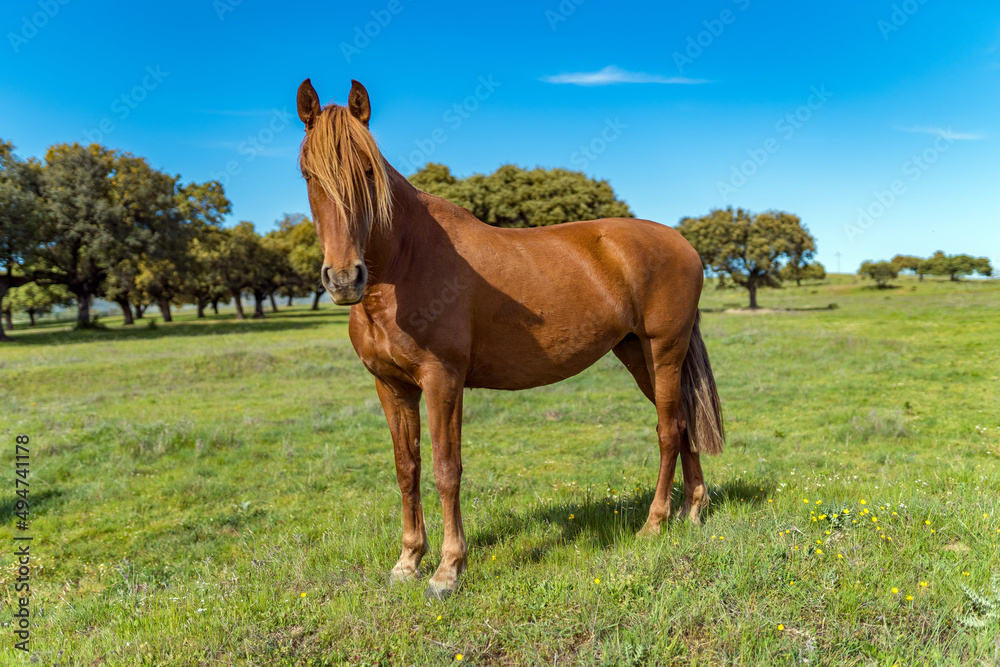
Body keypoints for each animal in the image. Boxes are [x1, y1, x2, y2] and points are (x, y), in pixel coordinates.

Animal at [296, 79, 725, 599]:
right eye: (308, 174)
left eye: (366, 171)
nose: (343, 279)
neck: (405, 265)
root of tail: (683, 244)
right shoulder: (391, 387)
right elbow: (407, 468)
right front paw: (407, 561)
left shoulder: (443, 382)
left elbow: (446, 470)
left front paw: (448, 569)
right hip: (638, 354)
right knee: (682, 423)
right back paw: (693, 510)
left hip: (663, 350)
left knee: (667, 429)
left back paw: (655, 523)